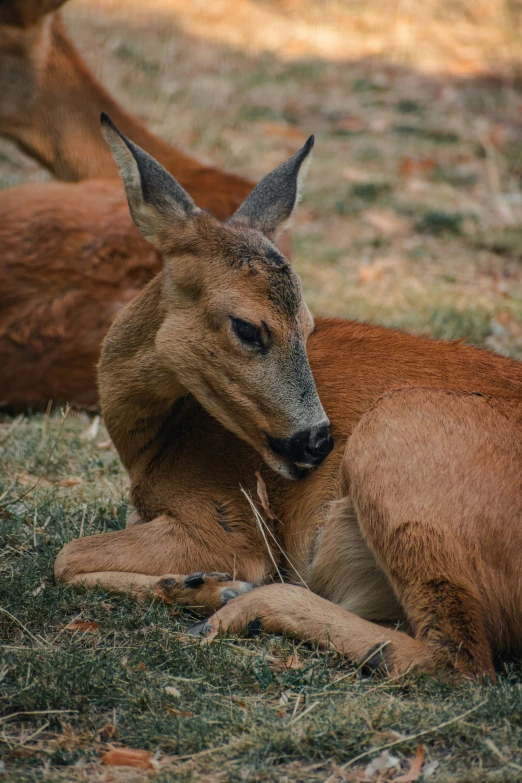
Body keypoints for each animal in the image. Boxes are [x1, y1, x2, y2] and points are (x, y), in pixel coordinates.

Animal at [52, 113, 522, 684]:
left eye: (308, 326)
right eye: (248, 328)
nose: (316, 442)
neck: (155, 444)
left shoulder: (228, 518)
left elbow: (66, 556)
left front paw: (212, 586)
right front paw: (198, 585)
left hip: (398, 431)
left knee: (456, 658)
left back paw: (239, 607)